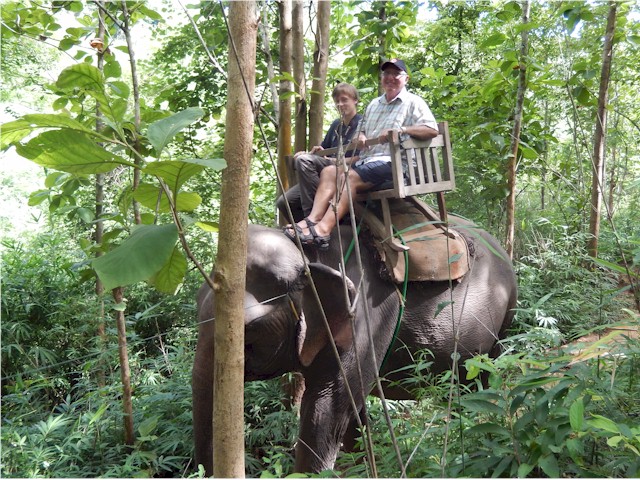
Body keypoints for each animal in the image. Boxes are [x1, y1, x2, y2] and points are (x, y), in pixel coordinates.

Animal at [192, 218, 517, 475]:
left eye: (247, 329)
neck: (309, 255)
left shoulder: (368, 315)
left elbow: (328, 409)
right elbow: (351, 413)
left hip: (505, 321)